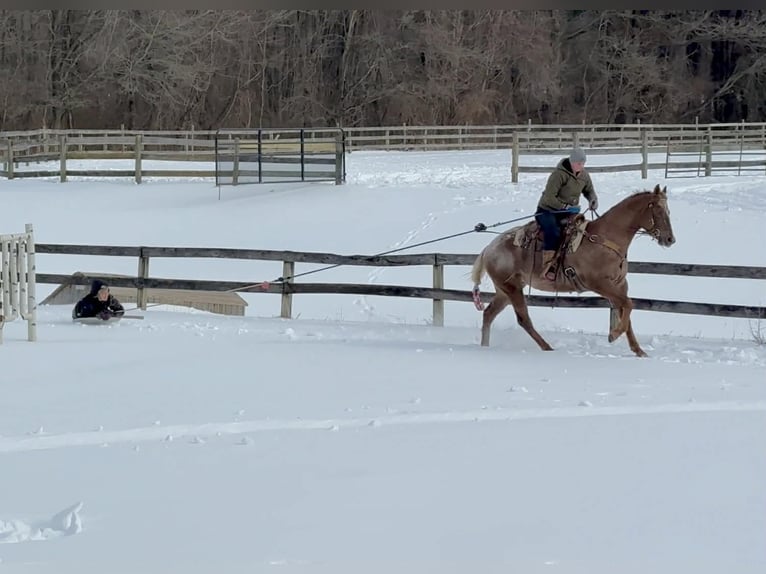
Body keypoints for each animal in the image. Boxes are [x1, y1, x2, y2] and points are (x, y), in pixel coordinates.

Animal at [470, 184, 676, 357]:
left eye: (668, 210)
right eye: (657, 210)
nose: (670, 239)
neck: (605, 239)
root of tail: (489, 248)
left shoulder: (619, 285)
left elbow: (626, 309)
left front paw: (639, 351)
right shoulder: (600, 284)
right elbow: (628, 304)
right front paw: (614, 335)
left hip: (505, 290)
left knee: (488, 314)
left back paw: (485, 346)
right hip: (512, 289)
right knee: (523, 320)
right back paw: (547, 347)